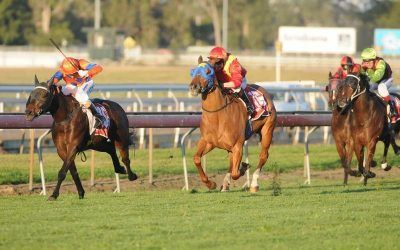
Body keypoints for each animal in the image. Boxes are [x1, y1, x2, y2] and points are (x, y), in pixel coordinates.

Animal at [189, 56, 276, 192]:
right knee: (231, 162)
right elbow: (197, 158)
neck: (218, 116)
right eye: (193, 72)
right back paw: (225, 184)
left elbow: (236, 172)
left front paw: (244, 167)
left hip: (268, 130)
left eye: (208, 71)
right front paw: (210, 184)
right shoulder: (208, 142)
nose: (194, 86)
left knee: (263, 155)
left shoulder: (237, 145)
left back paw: (254, 184)